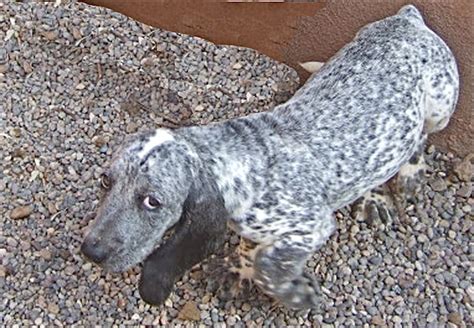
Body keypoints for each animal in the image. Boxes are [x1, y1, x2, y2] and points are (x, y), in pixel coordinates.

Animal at [81, 5, 460, 310]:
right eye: (105, 180)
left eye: (152, 201)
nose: (91, 251)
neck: (241, 163)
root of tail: (408, 17)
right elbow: (255, 249)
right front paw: (239, 269)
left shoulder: (311, 226)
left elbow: (268, 264)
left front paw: (297, 293)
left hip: (440, 105)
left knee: (420, 137)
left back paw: (406, 174)